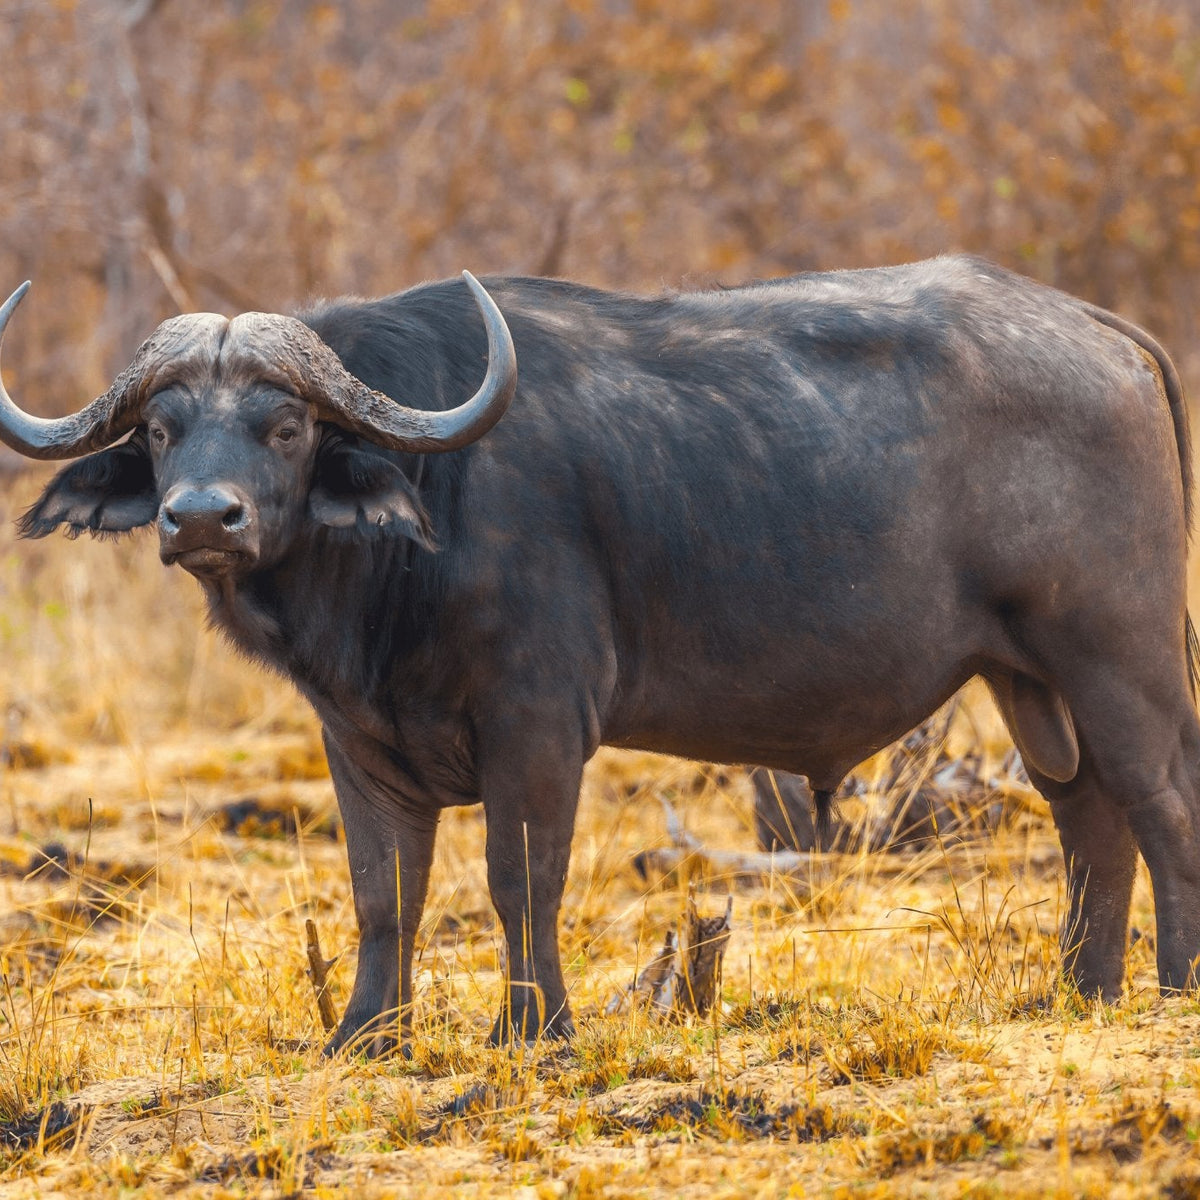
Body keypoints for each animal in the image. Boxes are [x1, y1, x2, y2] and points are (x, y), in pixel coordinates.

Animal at [0, 255, 1196, 1052]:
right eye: (161, 429)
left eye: (285, 426)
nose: (203, 518)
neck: (426, 517)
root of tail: (1108, 334)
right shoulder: (360, 742)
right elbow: (385, 892)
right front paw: (366, 1035)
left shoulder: (536, 723)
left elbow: (519, 878)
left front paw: (532, 1031)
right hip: (1029, 680)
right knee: (1089, 818)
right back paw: (1079, 991)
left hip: (1119, 658)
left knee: (1160, 805)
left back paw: (1172, 984)